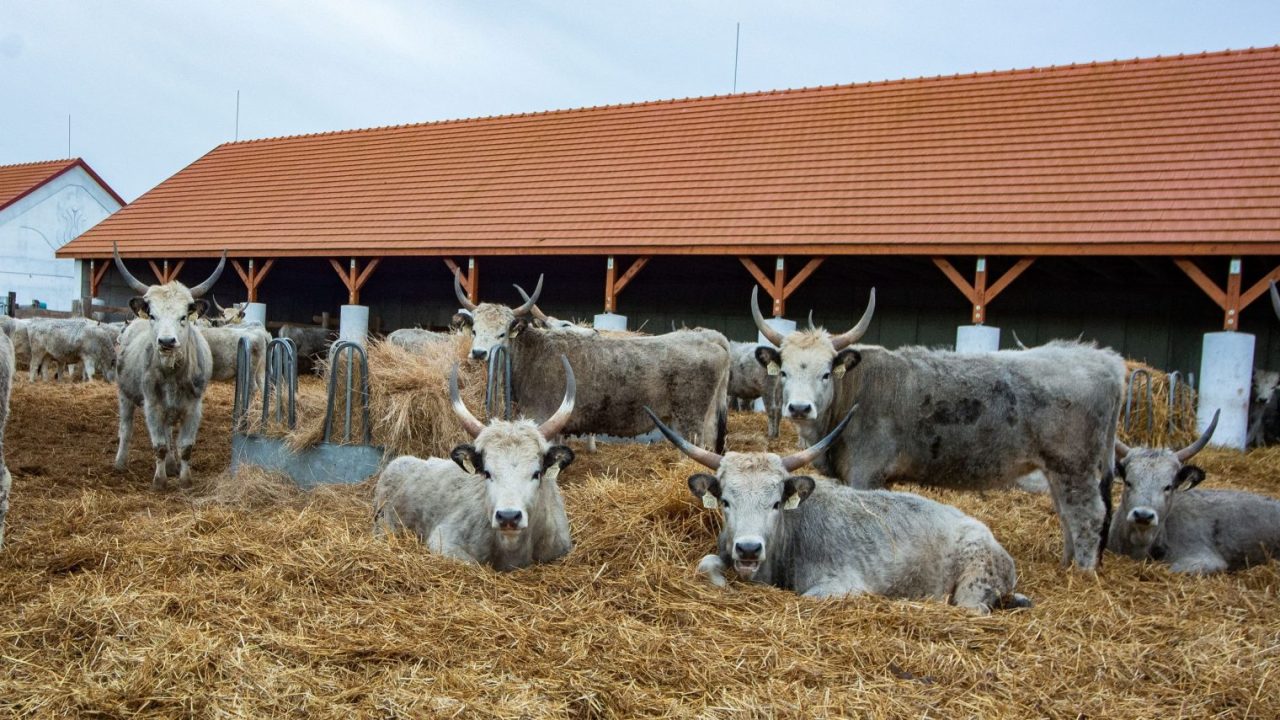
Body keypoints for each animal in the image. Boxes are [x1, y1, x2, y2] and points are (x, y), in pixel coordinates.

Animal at [455, 272, 732, 448]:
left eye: (502, 333)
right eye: (475, 330)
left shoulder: (543, 417)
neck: (534, 353)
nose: (478, 353)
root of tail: (707, 335)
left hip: (691, 420)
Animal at [650, 407, 1029, 614]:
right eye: (726, 501)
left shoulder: (843, 585)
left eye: (776, 503)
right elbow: (705, 564)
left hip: (974, 584)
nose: (748, 548)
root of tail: (985, 532)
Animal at [752, 286, 1126, 571]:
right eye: (783, 371)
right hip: (1058, 469)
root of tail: (1104, 360)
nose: (800, 408)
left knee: (1089, 516)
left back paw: (1082, 572)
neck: (857, 392)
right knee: (1067, 514)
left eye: (826, 373)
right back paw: (1067, 564)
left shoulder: (866, 473)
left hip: (1073, 465)